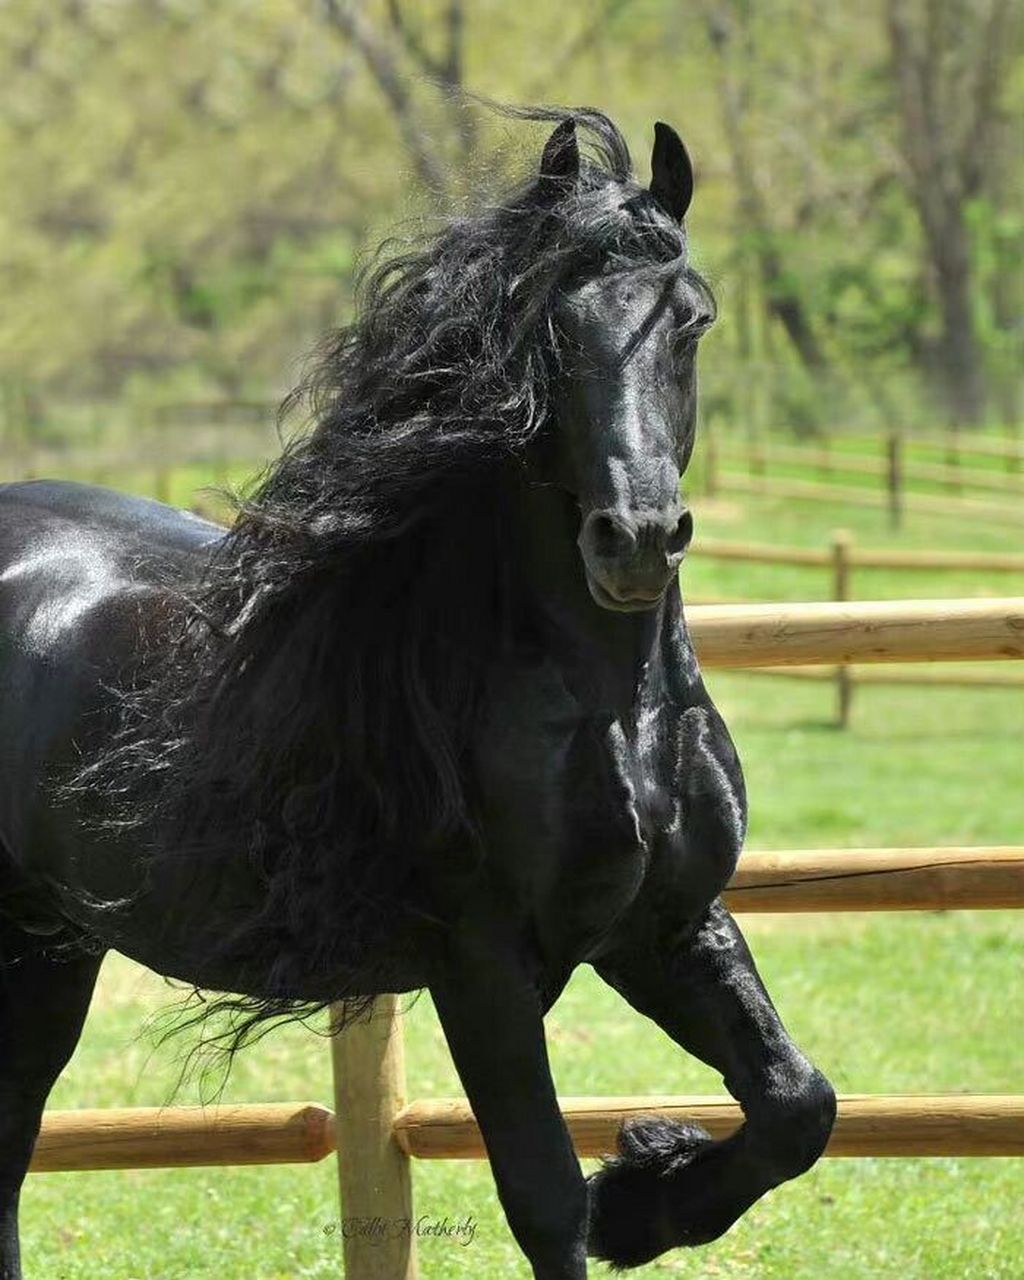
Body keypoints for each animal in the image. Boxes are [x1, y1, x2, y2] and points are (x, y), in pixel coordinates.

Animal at [0, 108, 835, 1280]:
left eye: (695, 322)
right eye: (546, 332)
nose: (634, 539)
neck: (617, 714)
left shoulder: (665, 926)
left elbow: (798, 1105)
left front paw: (646, 1199)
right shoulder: (483, 964)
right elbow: (543, 1198)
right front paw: (624, 1194)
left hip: (47, 946)